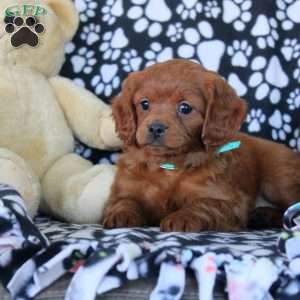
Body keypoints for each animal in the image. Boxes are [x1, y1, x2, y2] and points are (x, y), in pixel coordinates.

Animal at [102, 58, 300, 232]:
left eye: (185, 108)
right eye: (144, 104)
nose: (156, 128)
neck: (169, 166)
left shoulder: (230, 201)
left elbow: (202, 204)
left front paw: (181, 218)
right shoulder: (123, 188)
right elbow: (123, 201)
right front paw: (121, 215)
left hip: (279, 180)